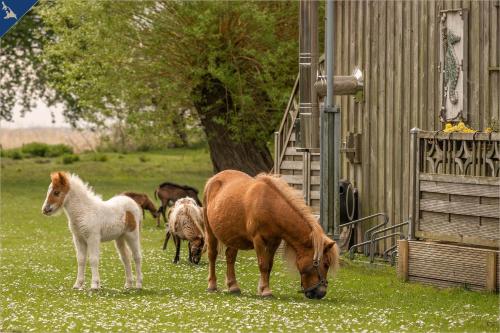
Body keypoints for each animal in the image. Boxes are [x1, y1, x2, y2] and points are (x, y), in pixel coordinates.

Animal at [203, 169, 340, 298]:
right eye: (325, 264)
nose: (321, 293)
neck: (270, 206)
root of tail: (213, 180)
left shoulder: (274, 243)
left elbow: (269, 265)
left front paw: (262, 288)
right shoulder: (258, 240)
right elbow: (263, 265)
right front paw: (266, 291)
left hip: (233, 237)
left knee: (230, 257)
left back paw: (233, 287)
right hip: (210, 233)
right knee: (212, 256)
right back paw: (212, 285)